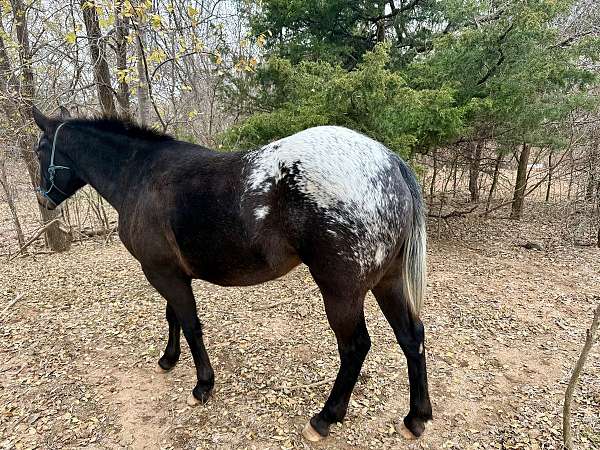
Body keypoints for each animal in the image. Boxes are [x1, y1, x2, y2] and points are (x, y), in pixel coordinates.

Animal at [31, 107, 432, 442]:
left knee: (355, 348)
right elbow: (172, 317)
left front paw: (202, 386)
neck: (141, 175)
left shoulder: (162, 273)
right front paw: (168, 359)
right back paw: (416, 417)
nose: (44, 199)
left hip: (341, 293)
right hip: (388, 281)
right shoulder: (171, 274)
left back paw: (325, 418)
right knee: (411, 337)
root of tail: (388, 162)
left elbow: (190, 324)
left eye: (40, 150)